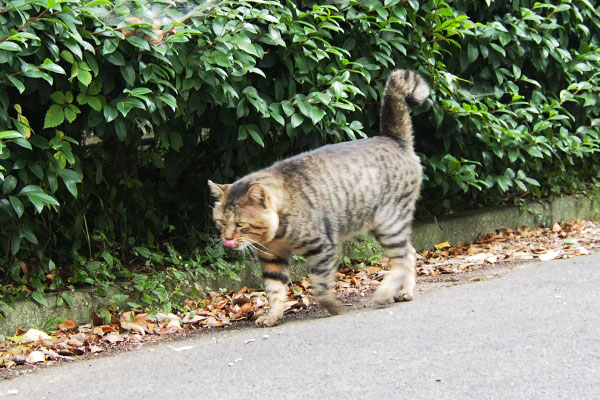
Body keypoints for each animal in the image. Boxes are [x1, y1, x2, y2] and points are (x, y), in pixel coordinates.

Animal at [209, 69, 428, 324]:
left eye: (240, 224)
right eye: (221, 222)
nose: (226, 239)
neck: (277, 233)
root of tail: (394, 139)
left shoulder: (322, 247)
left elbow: (319, 285)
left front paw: (332, 306)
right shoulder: (272, 259)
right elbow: (274, 291)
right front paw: (272, 316)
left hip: (389, 222)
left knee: (402, 258)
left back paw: (385, 292)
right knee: (410, 253)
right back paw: (404, 291)